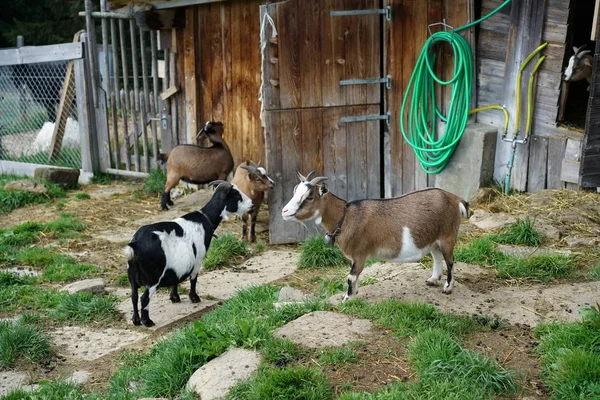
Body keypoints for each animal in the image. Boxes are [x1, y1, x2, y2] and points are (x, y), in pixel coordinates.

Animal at [124, 180, 253, 326]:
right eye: (237, 195)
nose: (252, 203)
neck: (205, 219)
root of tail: (135, 245)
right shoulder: (198, 260)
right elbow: (193, 279)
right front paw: (194, 298)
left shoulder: (178, 264)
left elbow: (176, 279)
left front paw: (175, 297)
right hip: (153, 277)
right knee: (144, 298)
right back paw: (147, 321)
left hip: (132, 276)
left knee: (134, 296)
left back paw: (136, 320)